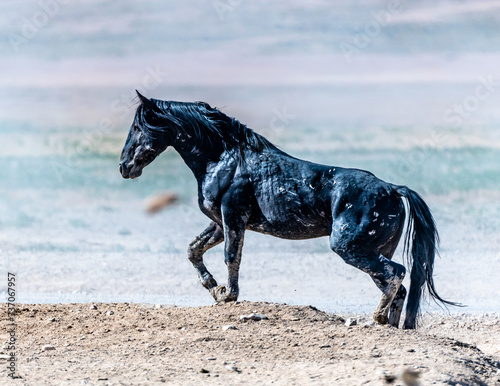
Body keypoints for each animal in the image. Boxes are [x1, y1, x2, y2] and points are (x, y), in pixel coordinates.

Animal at [119, 91, 456, 328]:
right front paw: (214, 289)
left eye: (138, 126)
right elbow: (193, 250)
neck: (225, 158)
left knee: (397, 274)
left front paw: (229, 295)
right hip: (375, 249)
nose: (124, 167)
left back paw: (378, 318)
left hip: (352, 248)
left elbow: (231, 256)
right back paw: (392, 326)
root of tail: (393, 189)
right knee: (398, 287)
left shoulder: (232, 218)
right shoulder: (218, 223)